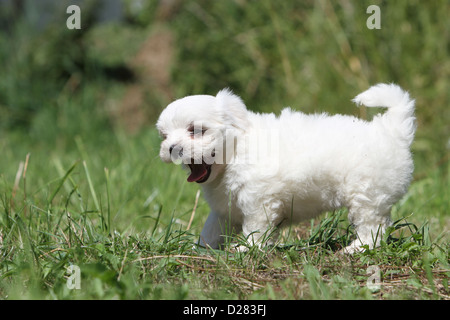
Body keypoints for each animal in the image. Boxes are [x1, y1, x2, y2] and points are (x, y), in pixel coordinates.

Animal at [156, 84, 416, 254]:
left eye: (195, 130)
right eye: (164, 135)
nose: (172, 148)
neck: (236, 152)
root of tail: (392, 129)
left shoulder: (258, 200)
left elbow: (256, 228)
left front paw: (246, 248)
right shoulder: (225, 208)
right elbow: (211, 229)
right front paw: (200, 248)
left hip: (366, 192)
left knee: (372, 226)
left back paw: (357, 248)